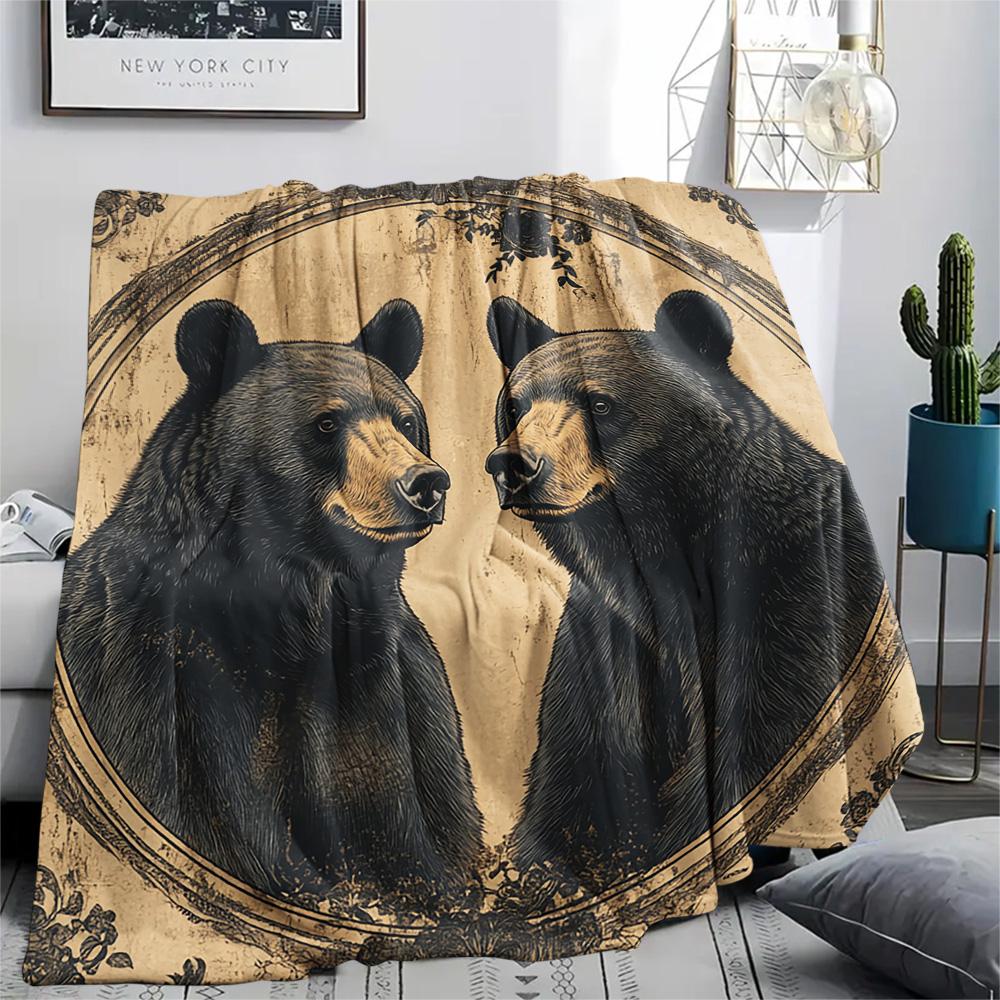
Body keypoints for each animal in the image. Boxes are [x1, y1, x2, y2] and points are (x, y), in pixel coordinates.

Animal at [484, 290, 885, 891]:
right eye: (517, 406)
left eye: (599, 403)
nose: (514, 464)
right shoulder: (602, 634)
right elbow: (571, 764)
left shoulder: (784, 598)